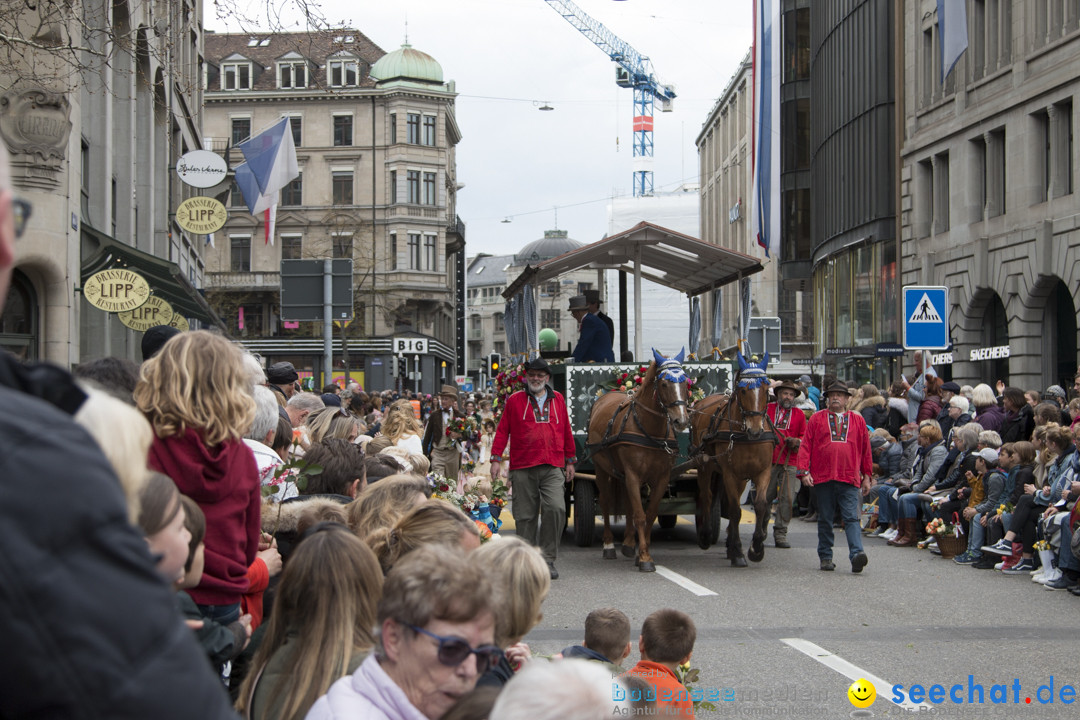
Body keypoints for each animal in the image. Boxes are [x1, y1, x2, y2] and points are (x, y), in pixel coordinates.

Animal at [591, 349, 691, 574]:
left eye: (684, 382)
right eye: (664, 384)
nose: (681, 421)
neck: (649, 429)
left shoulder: (661, 478)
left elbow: (650, 513)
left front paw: (640, 552)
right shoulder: (633, 475)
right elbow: (639, 515)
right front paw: (645, 557)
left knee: (628, 504)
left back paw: (628, 544)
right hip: (602, 469)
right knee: (605, 502)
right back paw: (608, 545)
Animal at [691, 354, 777, 569]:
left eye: (766, 390)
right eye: (743, 390)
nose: (755, 429)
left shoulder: (762, 472)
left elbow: (760, 504)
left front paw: (756, 548)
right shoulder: (730, 473)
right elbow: (735, 510)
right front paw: (738, 552)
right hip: (704, 466)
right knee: (706, 496)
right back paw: (705, 535)